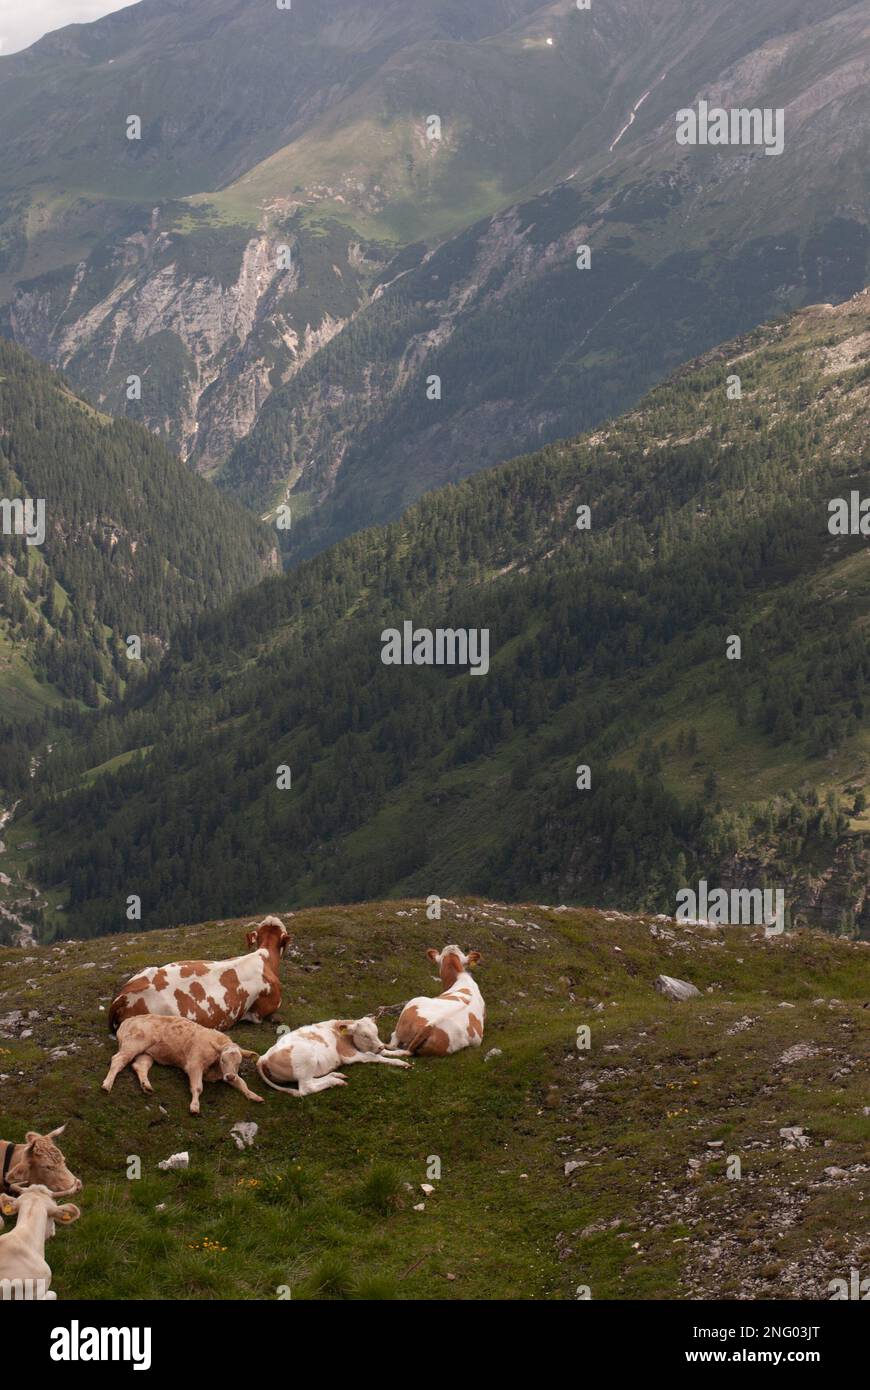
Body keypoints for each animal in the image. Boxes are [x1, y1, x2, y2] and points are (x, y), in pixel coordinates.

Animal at [102, 1017, 262, 1112]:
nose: (229, 1077)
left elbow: (242, 1083)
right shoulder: (194, 1065)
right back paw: (107, 1085)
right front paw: (195, 1106)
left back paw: (146, 1086)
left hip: (146, 1053)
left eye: (239, 1062)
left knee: (139, 1066)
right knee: (117, 1060)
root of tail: (129, 1020)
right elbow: (197, 1087)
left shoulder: (227, 1073)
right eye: (223, 1059)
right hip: (132, 1045)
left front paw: (254, 1096)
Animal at [255, 1011, 411, 1095]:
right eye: (364, 1035)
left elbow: (385, 1052)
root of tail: (263, 1057)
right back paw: (335, 1081)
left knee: (312, 1080)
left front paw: (402, 1053)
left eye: (376, 1032)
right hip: (306, 1058)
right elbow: (374, 1056)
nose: (379, 1046)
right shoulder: (349, 1055)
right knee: (307, 1088)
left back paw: (335, 1075)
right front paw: (399, 1062)